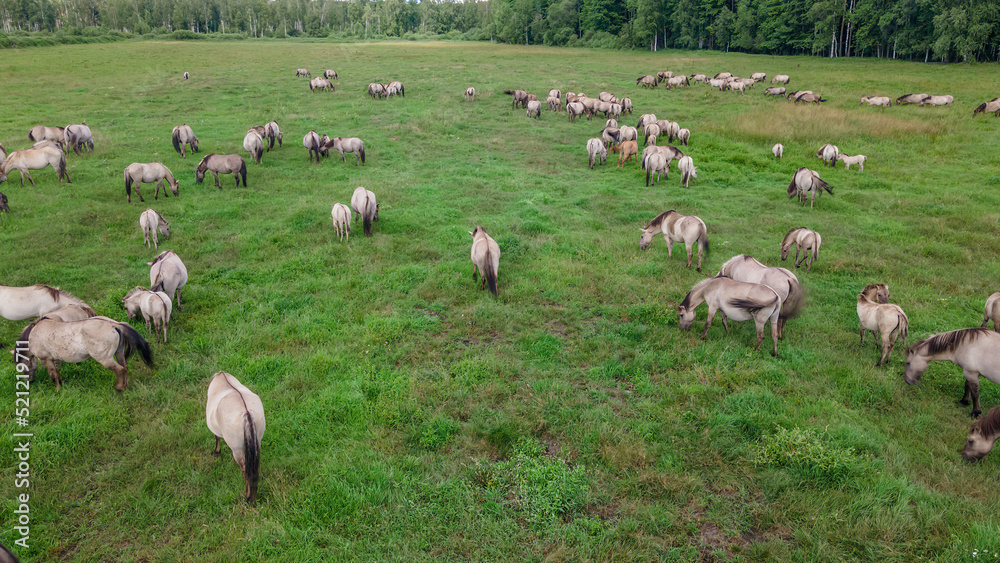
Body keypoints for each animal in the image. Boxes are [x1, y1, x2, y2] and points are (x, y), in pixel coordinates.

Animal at [15, 318, 152, 392]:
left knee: (120, 370)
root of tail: (114, 325)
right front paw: (62, 384)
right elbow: (57, 372)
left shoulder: (45, 359)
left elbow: (53, 376)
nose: (30, 381)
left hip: (105, 358)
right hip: (119, 353)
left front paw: (57, 390)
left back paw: (119, 388)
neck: (34, 333)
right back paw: (125, 386)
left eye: (21, 368)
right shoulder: (55, 358)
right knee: (125, 367)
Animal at [206, 372, 266, 504]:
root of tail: (247, 413)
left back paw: (248, 497)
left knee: (245, 472)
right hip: (257, 441)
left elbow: (217, 437)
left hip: (237, 450)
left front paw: (217, 451)